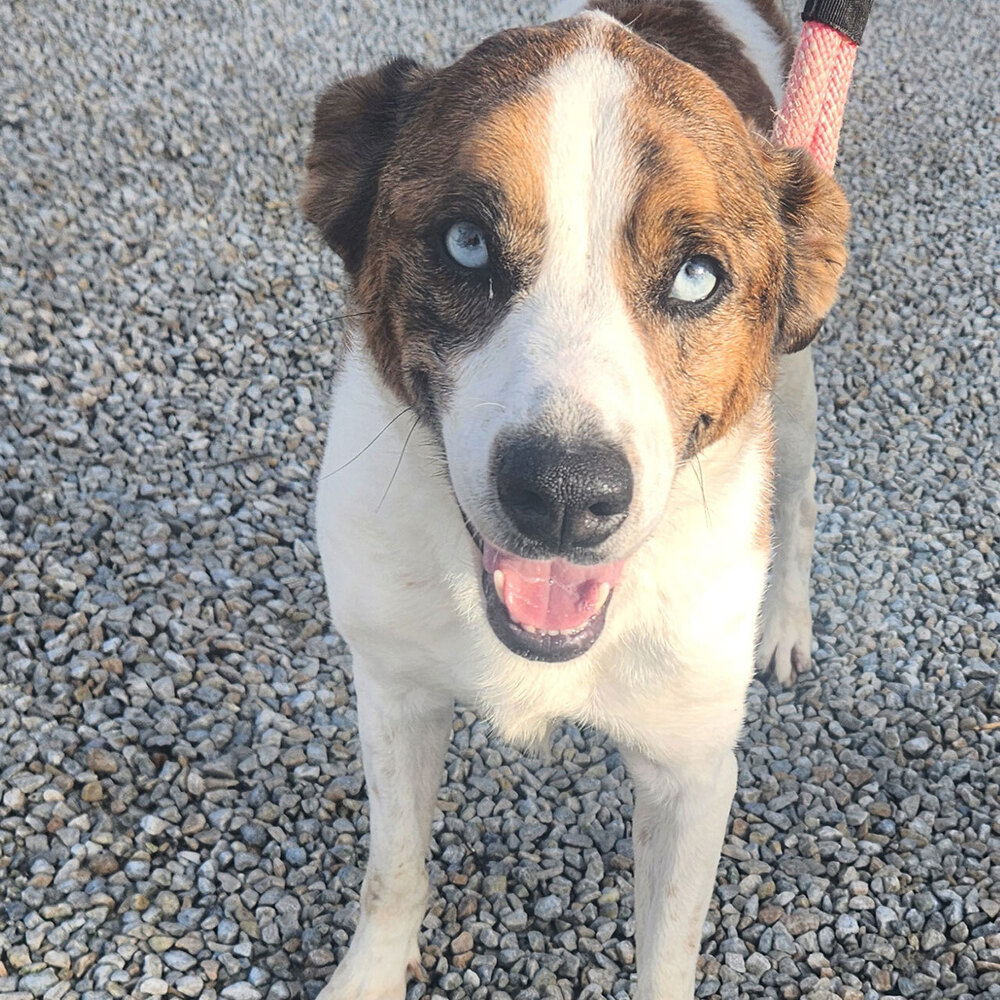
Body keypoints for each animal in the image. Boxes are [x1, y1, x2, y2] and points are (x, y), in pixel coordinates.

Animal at [300, 3, 848, 996]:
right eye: (466, 241)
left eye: (698, 276)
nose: (562, 493)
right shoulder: (394, 688)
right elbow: (392, 873)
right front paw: (369, 974)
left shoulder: (690, 768)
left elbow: (666, 954)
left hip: (792, 392)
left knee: (798, 505)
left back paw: (786, 623)